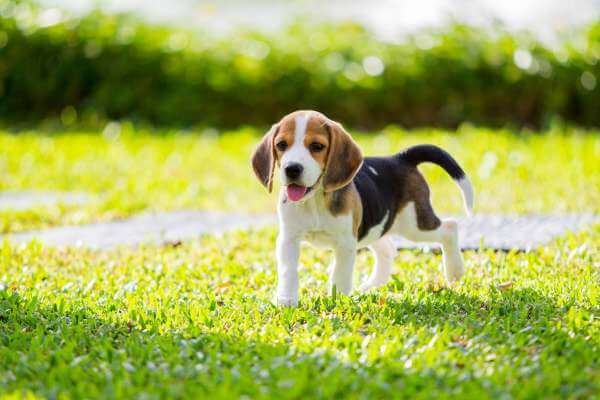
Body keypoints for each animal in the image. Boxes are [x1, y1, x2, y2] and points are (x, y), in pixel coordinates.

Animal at [251, 109, 472, 306]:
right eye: (281, 145)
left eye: (317, 146)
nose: (292, 169)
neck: (314, 201)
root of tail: (400, 158)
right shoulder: (288, 239)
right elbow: (288, 271)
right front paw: (286, 300)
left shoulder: (346, 243)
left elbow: (340, 274)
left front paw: (337, 301)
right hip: (376, 227)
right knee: (388, 250)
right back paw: (369, 287)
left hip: (414, 224)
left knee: (450, 227)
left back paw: (455, 270)